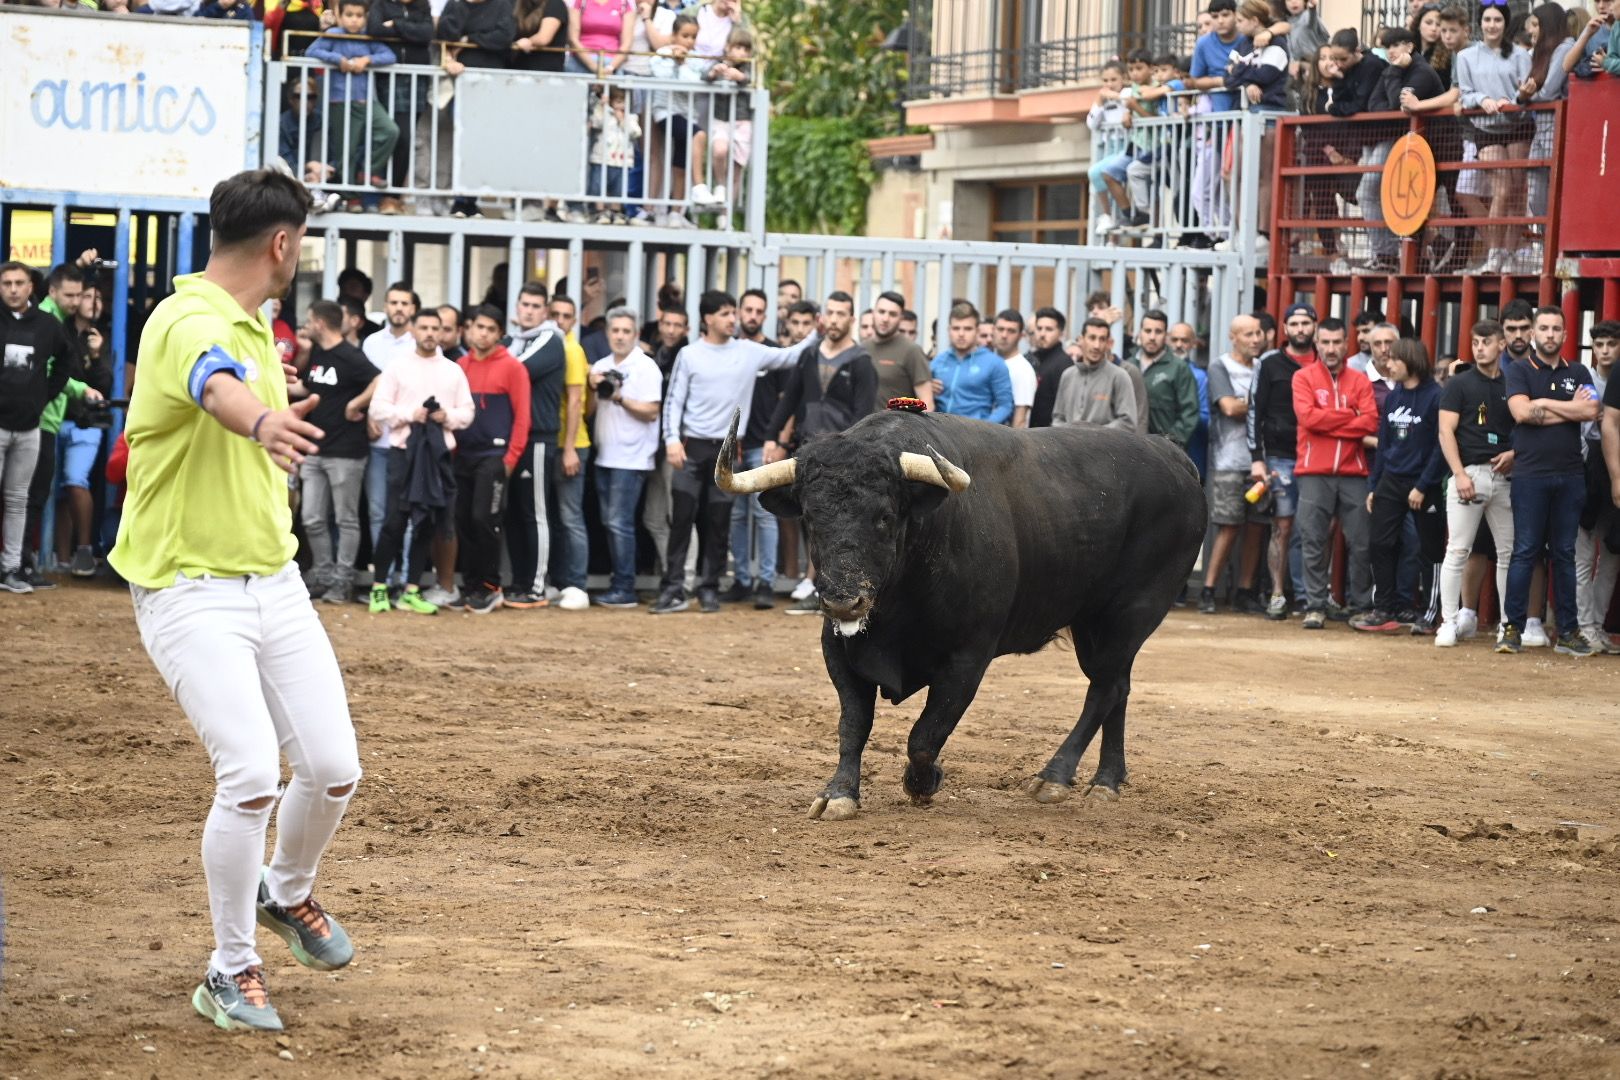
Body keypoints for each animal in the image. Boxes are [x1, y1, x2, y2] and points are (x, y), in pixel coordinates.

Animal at [716, 409, 1211, 822]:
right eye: (810, 518)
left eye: (884, 516)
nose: (843, 602)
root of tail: (1175, 458)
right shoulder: (838, 648)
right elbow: (853, 725)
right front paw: (838, 794)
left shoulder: (968, 660)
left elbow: (924, 735)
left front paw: (923, 783)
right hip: (1096, 625)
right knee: (1118, 687)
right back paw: (1107, 781)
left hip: (1130, 614)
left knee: (1105, 688)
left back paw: (1054, 777)